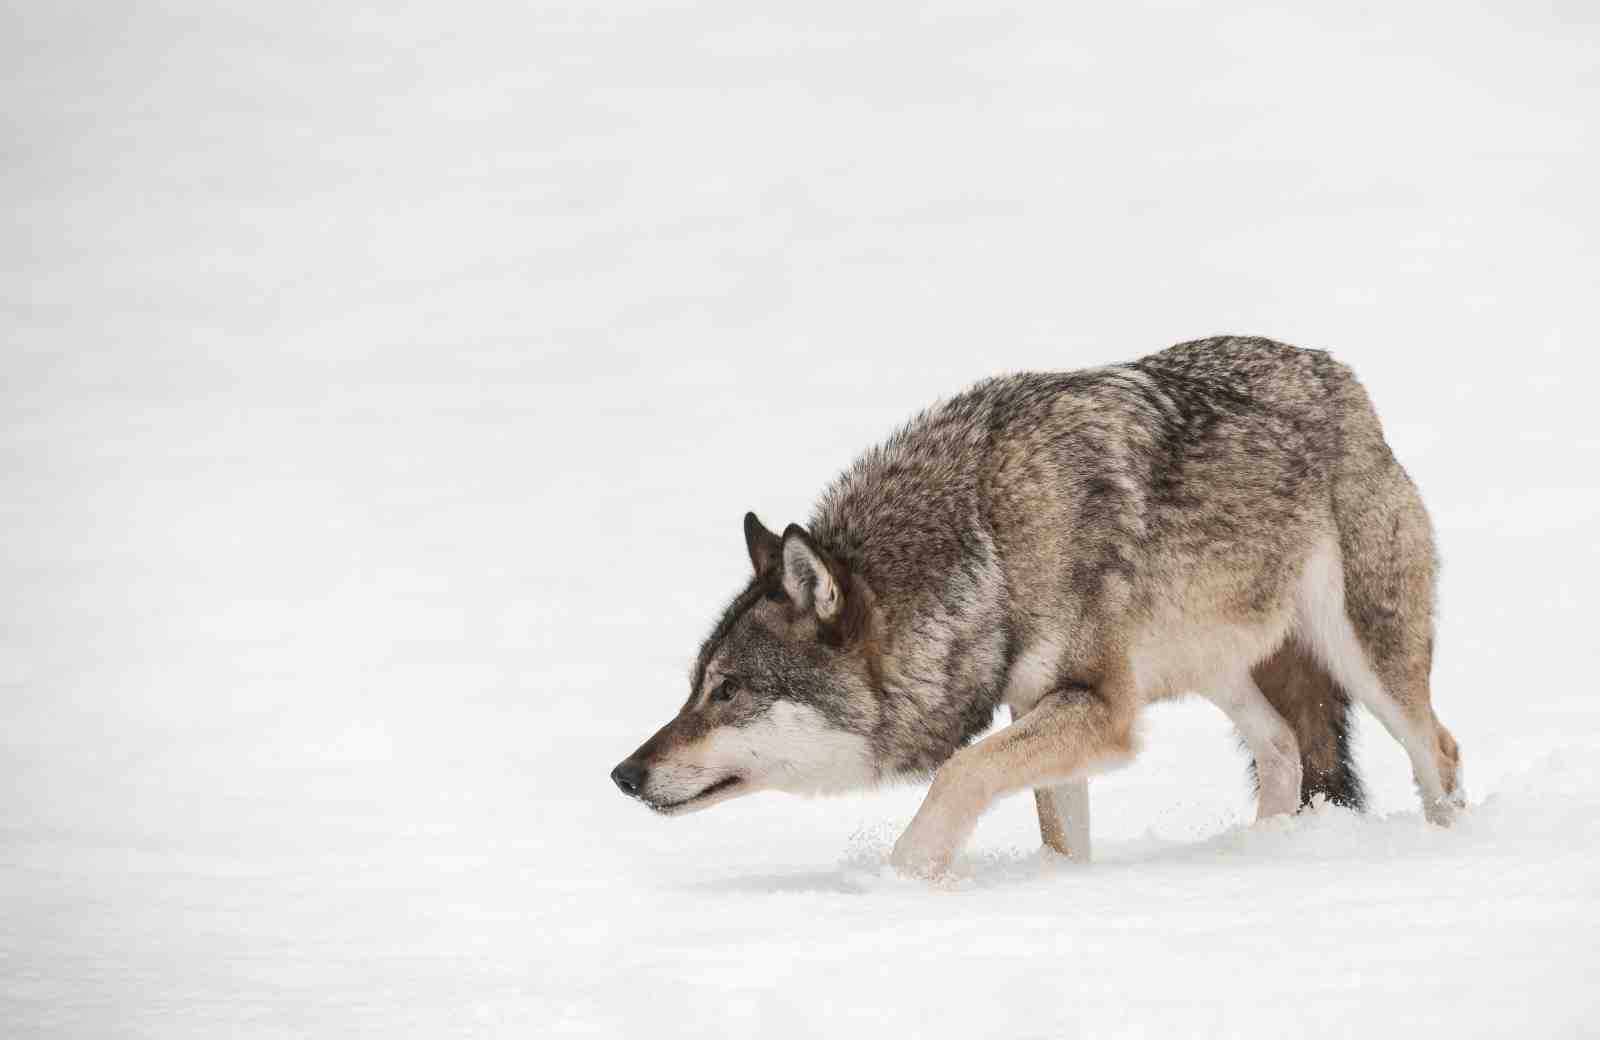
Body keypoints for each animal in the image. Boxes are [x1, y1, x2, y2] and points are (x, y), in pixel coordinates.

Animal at [611, 336, 1464, 875]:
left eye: (730, 691)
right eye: (695, 687)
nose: (623, 773)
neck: (990, 544)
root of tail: (1337, 375)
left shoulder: (1097, 709)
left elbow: (960, 772)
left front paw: (903, 879)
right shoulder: (1041, 705)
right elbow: (1054, 831)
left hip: (1366, 659)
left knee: (1440, 751)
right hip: (1217, 668)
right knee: (1285, 745)